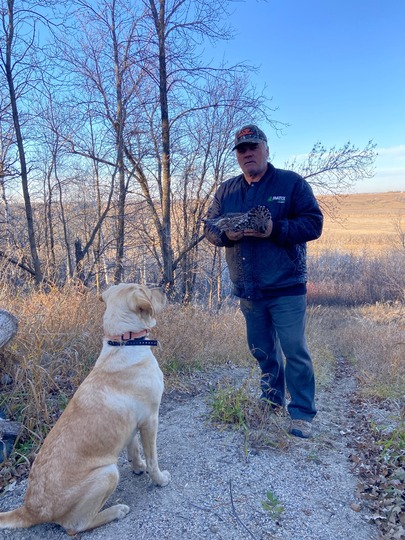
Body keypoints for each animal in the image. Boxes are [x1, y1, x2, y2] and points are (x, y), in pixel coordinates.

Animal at [0, 282, 170, 536]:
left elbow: (134, 448)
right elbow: (152, 457)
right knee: (76, 526)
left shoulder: (132, 424)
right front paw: (158, 478)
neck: (124, 342)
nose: (163, 290)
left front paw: (138, 467)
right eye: (144, 289)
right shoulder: (150, 420)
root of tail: (30, 510)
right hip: (108, 473)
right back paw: (116, 511)